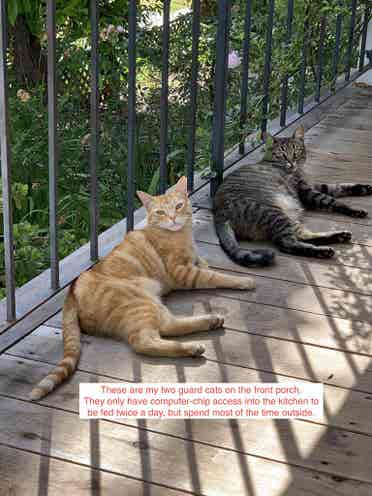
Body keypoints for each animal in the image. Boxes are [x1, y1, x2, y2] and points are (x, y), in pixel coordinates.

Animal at [29, 176, 256, 402]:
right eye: (160, 212)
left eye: (178, 206)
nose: (173, 218)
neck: (180, 235)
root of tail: (71, 291)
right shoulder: (183, 273)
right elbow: (215, 276)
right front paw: (243, 280)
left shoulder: (195, 262)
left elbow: (206, 266)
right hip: (141, 303)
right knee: (145, 342)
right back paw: (193, 346)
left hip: (149, 305)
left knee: (167, 327)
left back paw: (210, 322)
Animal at [212, 125, 372, 264]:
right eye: (282, 155)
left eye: (296, 152)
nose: (291, 163)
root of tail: (219, 215)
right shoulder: (306, 191)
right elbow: (333, 200)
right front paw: (355, 209)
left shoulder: (311, 185)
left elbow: (338, 187)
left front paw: (364, 188)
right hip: (274, 213)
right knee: (287, 243)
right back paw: (323, 250)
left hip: (288, 218)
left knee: (303, 236)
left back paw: (339, 236)